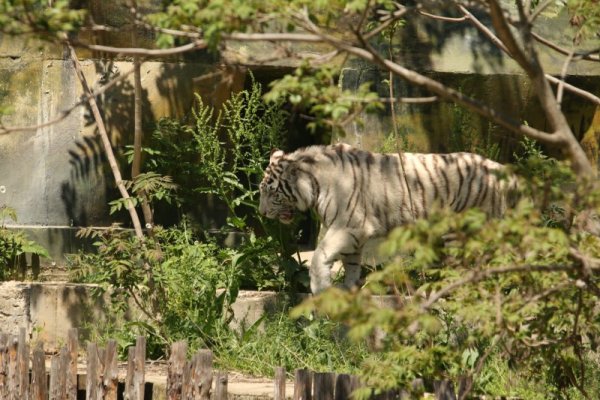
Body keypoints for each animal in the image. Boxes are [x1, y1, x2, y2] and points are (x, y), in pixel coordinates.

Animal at [258, 142, 516, 292]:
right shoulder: (353, 236)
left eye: (272, 193)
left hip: (461, 230)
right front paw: (350, 289)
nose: (262, 212)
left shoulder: (348, 226)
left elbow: (320, 256)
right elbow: (351, 264)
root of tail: (503, 170)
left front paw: (321, 289)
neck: (315, 184)